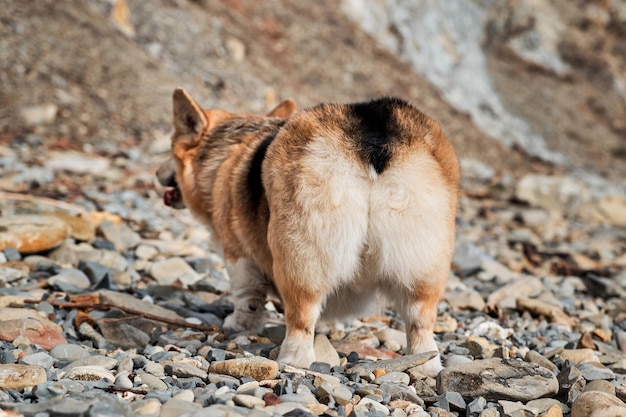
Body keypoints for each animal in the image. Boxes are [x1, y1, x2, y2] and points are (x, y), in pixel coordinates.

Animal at [156, 89, 458, 376]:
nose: (157, 173)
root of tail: (372, 135)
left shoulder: (237, 254)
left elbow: (246, 297)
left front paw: (239, 324)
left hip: (302, 258)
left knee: (301, 318)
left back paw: (292, 360)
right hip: (423, 266)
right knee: (420, 323)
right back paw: (425, 366)